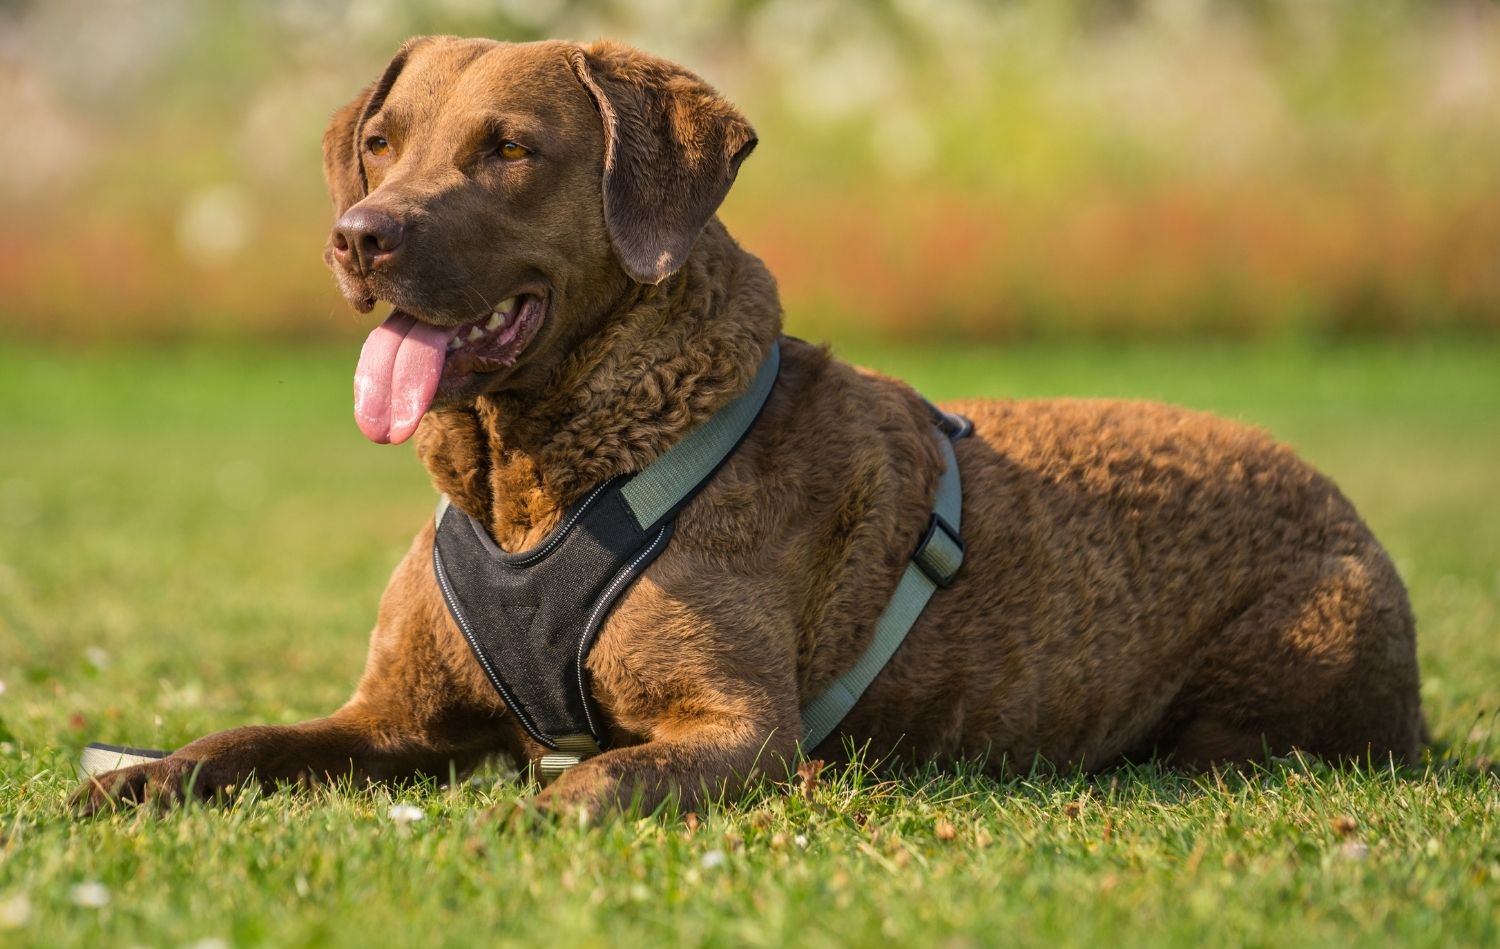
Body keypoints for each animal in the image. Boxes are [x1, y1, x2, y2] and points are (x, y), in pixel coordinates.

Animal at [73, 37, 1428, 815]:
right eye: (379, 142)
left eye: (508, 149)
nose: (358, 236)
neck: (529, 483)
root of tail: (1339, 498)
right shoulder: (389, 719)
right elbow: (241, 741)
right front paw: (137, 776)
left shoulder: (735, 726)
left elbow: (593, 783)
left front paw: (529, 810)